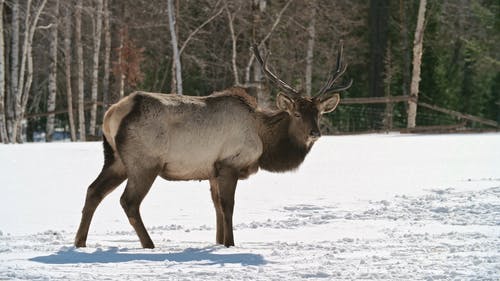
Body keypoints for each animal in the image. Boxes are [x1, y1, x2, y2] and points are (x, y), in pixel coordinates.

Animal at [75, 41, 352, 247]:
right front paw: (230, 243)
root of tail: (111, 114)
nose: (315, 132)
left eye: (318, 113)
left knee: (93, 190)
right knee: (128, 201)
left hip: (116, 160)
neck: (263, 141)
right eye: (296, 114)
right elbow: (228, 206)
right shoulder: (229, 163)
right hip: (144, 162)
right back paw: (149, 244)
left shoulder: (211, 170)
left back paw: (80, 242)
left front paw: (218, 242)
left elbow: (216, 206)